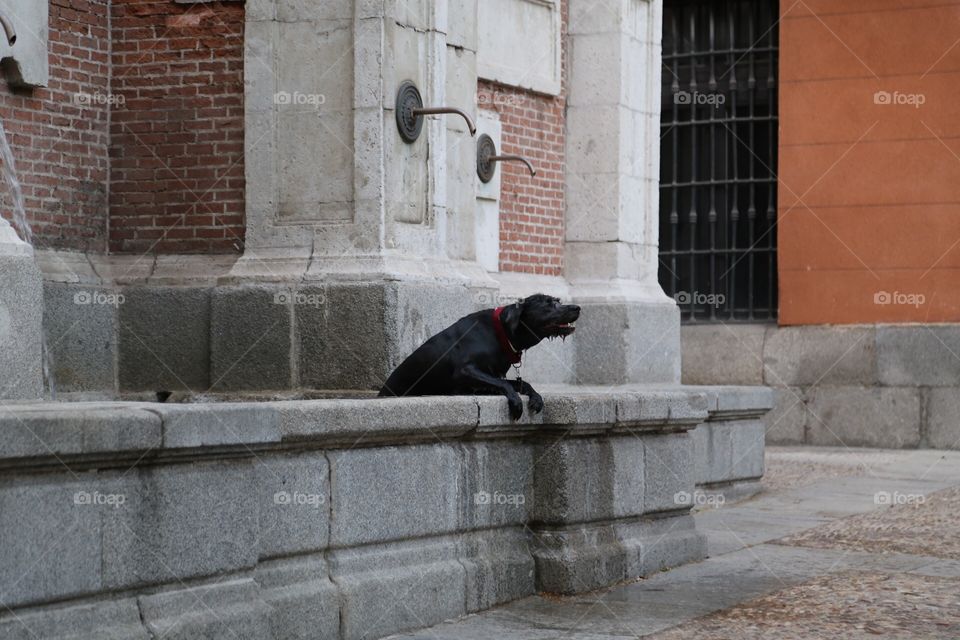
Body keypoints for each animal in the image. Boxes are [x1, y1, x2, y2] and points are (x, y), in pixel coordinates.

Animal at [378, 292, 580, 418]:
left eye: (558, 301)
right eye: (548, 304)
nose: (577, 307)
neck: (501, 332)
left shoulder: (492, 374)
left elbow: (520, 383)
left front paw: (535, 396)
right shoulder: (465, 370)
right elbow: (505, 384)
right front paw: (515, 400)